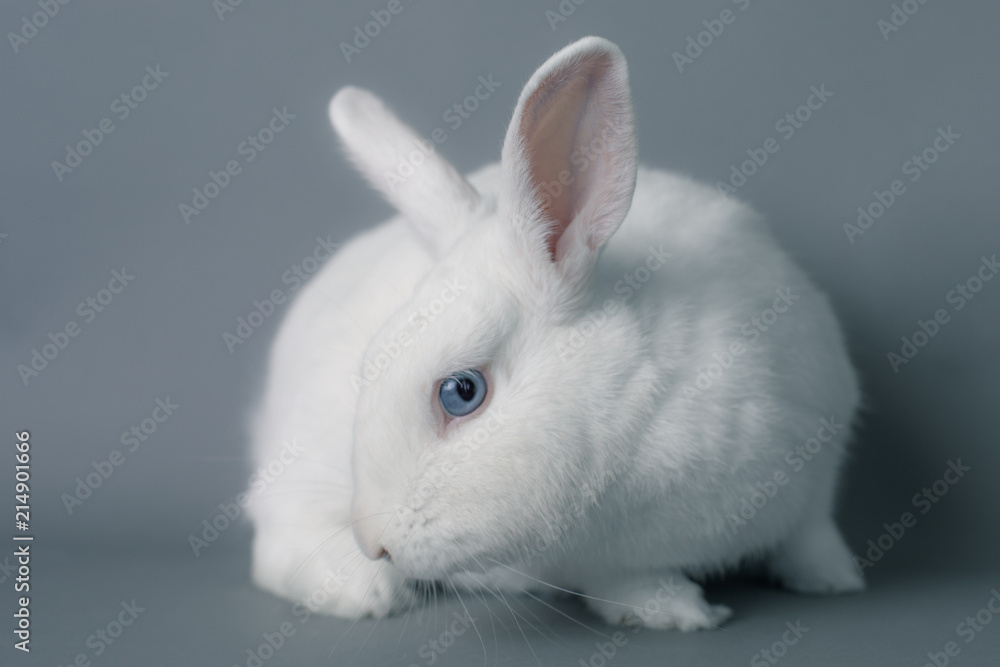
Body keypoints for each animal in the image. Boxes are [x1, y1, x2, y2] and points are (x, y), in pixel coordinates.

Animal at [246, 36, 864, 632]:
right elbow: (629, 578)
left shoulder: (821, 461)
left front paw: (834, 580)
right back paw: (367, 593)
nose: (375, 543)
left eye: (461, 391)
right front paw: (679, 612)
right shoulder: (600, 558)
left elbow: (812, 535)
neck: (640, 402)